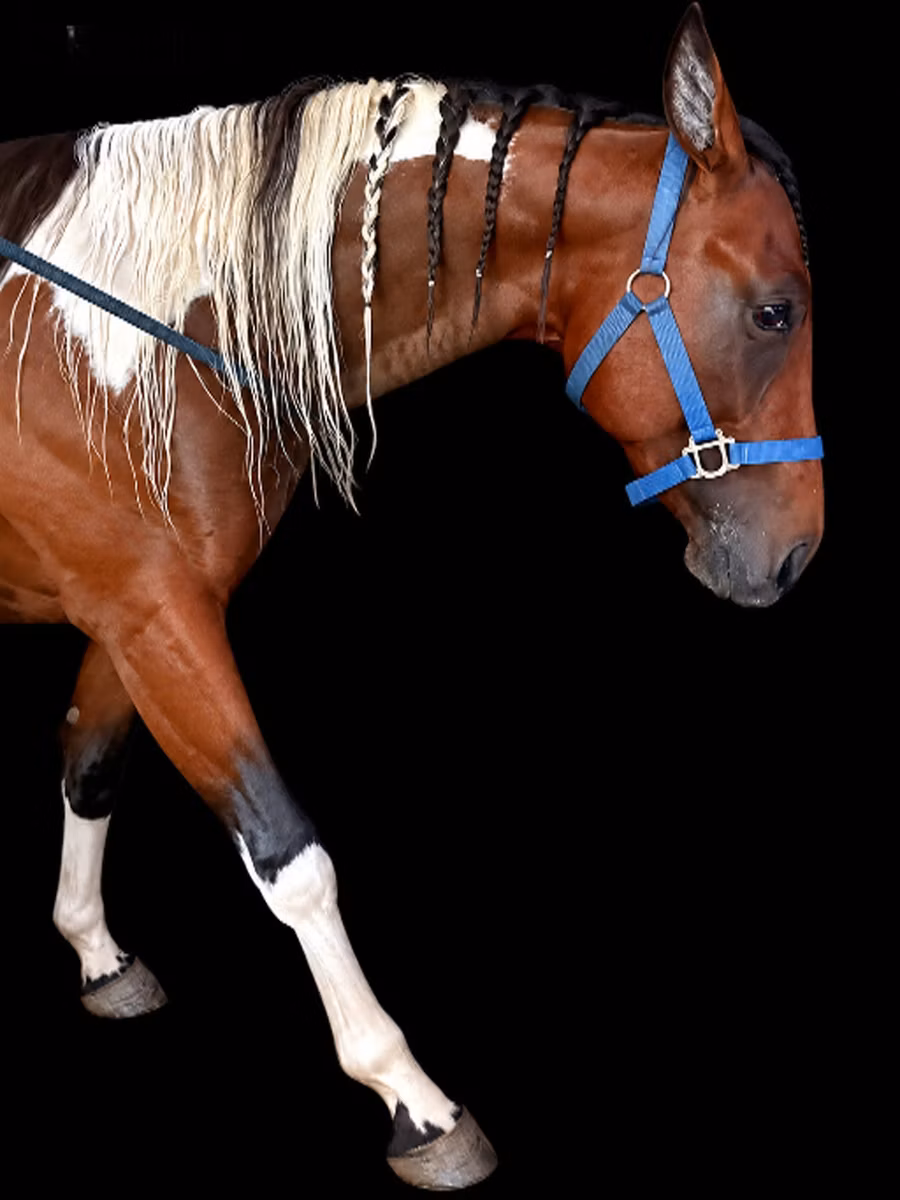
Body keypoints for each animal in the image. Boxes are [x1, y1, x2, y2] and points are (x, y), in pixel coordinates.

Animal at [0, 6, 822, 1190]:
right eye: (774, 313)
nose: (797, 552)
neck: (134, 331)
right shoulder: (157, 616)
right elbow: (291, 857)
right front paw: (414, 1100)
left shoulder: (136, 610)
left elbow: (93, 765)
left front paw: (96, 953)